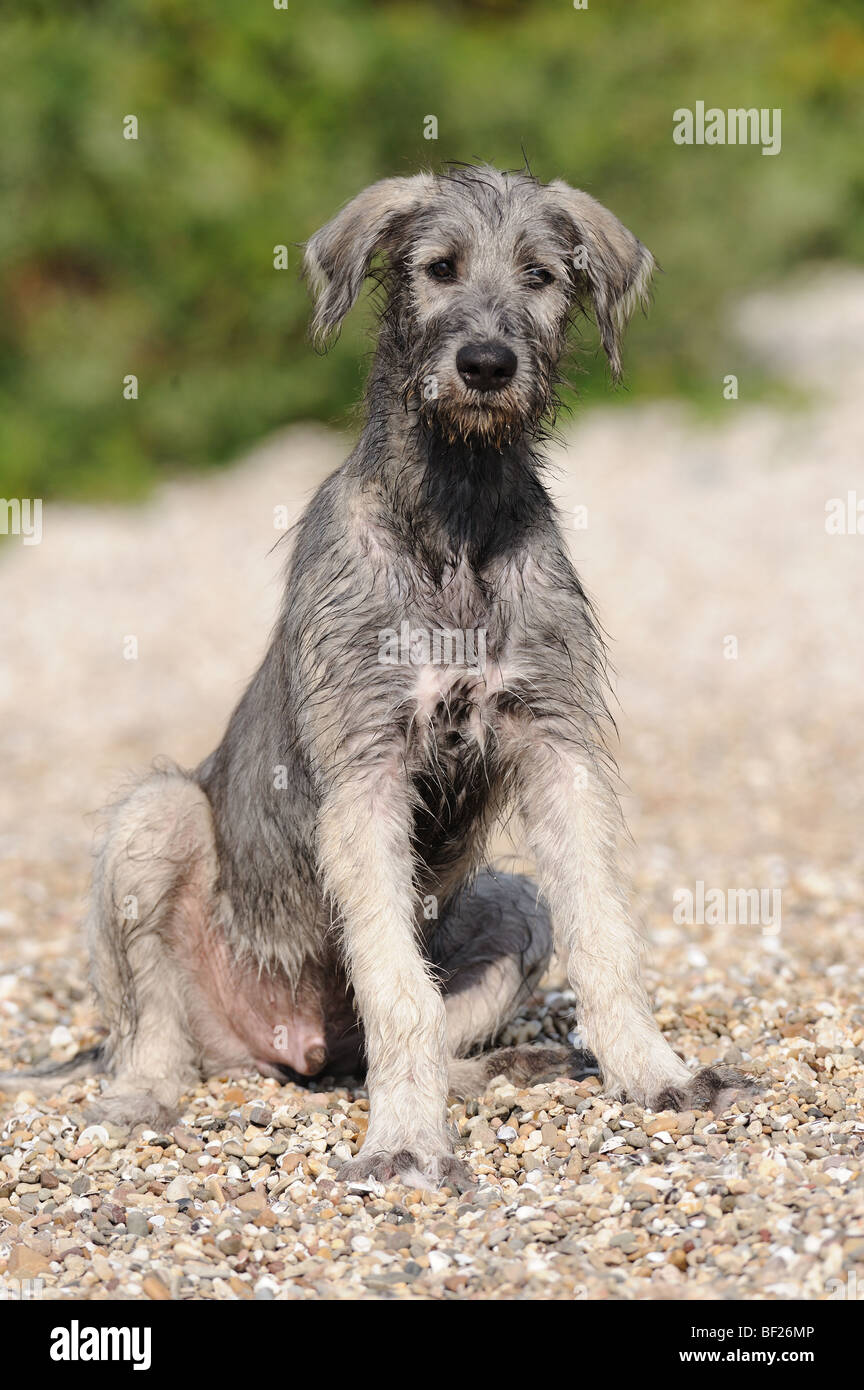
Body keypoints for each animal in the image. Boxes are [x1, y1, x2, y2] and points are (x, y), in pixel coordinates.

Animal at [1, 162, 750, 1184]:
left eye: (542, 276)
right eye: (438, 268)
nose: (486, 365)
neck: (457, 521)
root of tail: (289, 1046)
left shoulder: (555, 745)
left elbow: (602, 934)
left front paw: (654, 1072)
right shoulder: (366, 770)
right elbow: (399, 985)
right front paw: (405, 1139)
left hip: (509, 895)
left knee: (430, 1024)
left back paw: (499, 1072)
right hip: (154, 823)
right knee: (153, 1032)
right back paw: (144, 1098)